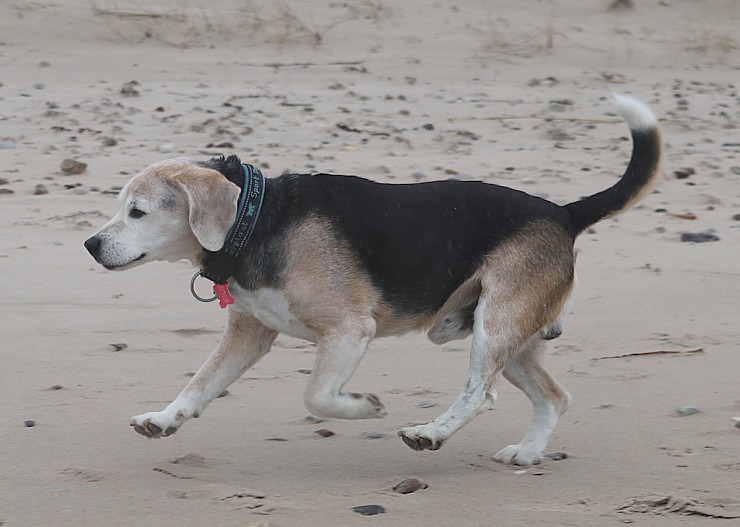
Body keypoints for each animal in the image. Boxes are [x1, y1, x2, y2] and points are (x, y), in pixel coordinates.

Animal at [85, 95, 660, 466]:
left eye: (137, 212)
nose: (89, 245)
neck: (258, 217)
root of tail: (562, 213)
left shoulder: (347, 331)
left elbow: (317, 396)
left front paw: (363, 407)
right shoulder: (249, 333)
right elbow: (200, 383)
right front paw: (166, 419)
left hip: (496, 325)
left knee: (481, 393)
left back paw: (430, 433)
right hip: (512, 335)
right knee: (554, 397)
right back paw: (528, 452)